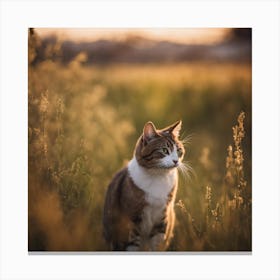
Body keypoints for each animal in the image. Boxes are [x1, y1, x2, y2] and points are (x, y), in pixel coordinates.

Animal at [101, 120, 185, 252]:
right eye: (164, 150)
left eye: (179, 150)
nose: (176, 161)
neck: (158, 177)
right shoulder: (133, 220)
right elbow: (132, 245)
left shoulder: (162, 217)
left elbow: (157, 244)